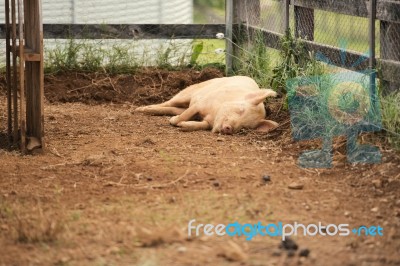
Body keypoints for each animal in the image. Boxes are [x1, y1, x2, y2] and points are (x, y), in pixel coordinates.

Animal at [134, 76, 278, 135]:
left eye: (245, 127)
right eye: (240, 110)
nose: (229, 129)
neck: (212, 115)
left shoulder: (207, 122)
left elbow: (200, 125)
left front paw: (183, 125)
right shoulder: (200, 103)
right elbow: (186, 114)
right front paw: (173, 122)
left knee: (174, 109)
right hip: (187, 93)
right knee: (169, 102)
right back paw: (140, 109)